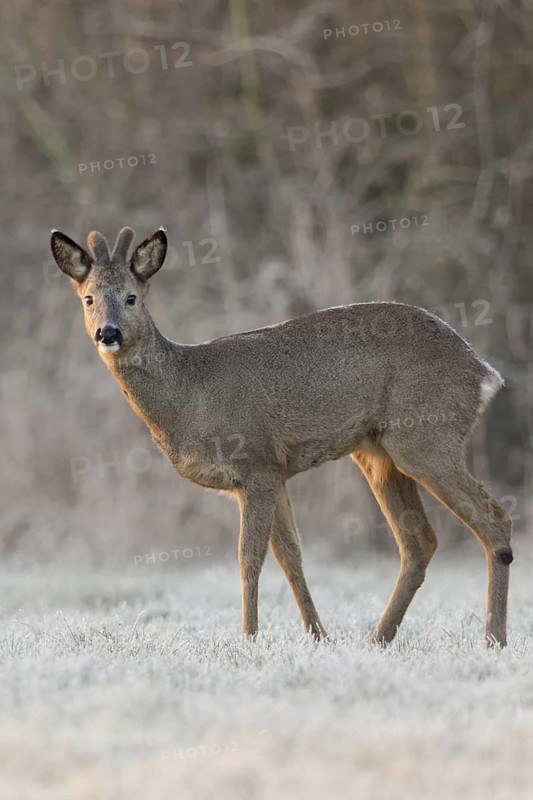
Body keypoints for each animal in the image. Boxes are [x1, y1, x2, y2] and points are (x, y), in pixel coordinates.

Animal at [50, 226, 513, 647]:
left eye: (132, 297)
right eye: (88, 299)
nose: (108, 333)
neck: (190, 393)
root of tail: (483, 372)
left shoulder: (255, 463)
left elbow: (249, 558)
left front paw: (249, 637)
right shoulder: (274, 473)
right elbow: (291, 557)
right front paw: (318, 636)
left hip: (425, 437)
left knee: (494, 519)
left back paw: (494, 639)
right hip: (378, 454)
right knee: (419, 542)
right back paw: (378, 639)